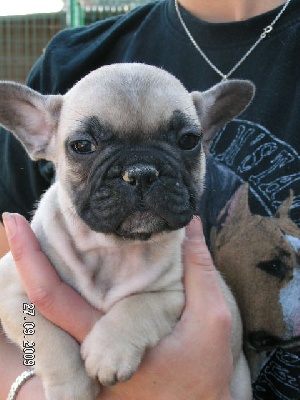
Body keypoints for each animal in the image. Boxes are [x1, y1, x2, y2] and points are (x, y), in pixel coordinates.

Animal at [0, 64, 253, 398]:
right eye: (82, 146)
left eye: (189, 140)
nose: (141, 172)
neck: (111, 249)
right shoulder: (12, 291)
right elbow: (49, 338)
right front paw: (72, 386)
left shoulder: (174, 294)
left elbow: (139, 306)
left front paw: (108, 351)